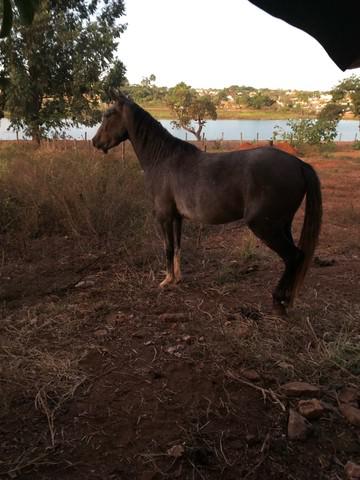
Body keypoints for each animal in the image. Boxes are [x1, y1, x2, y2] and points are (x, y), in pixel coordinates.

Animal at [93, 93, 324, 312]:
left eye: (108, 115)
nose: (95, 142)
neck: (162, 159)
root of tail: (298, 164)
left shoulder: (164, 216)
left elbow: (168, 248)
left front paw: (167, 280)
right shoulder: (177, 217)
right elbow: (178, 247)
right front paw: (178, 278)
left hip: (264, 226)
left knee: (293, 257)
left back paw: (278, 302)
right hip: (282, 225)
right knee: (297, 257)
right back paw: (287, 300)